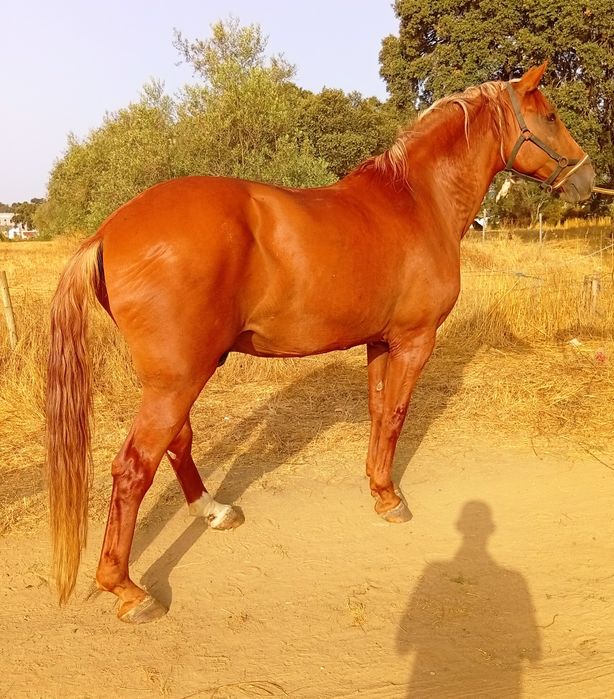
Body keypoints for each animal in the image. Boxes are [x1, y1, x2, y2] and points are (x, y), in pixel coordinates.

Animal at [46, 62, 595, 623]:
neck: (417, 202)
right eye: (550, 116)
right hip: (176, 381)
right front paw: (392, 500)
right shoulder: (415, 340)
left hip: (175, 379)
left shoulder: (381, 343)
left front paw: (378, 487)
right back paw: (127, 590)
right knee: (134, 468)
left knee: (178, 443)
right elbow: (397, 415)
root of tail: (109, 231)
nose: (588, 179)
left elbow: (379, 412)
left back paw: (214, 512)